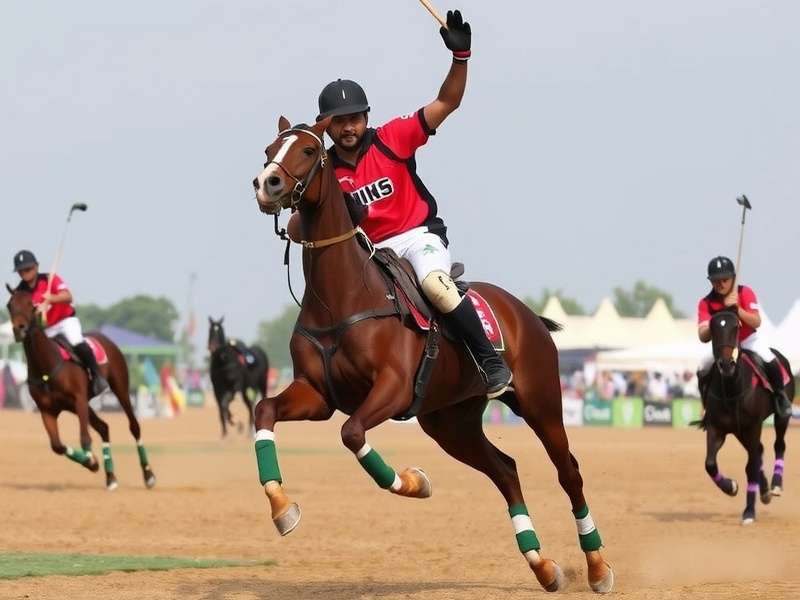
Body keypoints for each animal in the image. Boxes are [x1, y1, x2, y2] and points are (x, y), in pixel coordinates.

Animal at [5, 285, 156, 490]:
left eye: (32, 304)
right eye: (9, 305)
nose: (19, 329)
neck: (47, 364)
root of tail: (105, 338)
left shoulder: (78, 399)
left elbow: (85, 438)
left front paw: (91, 460)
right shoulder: (48, 410)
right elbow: (57, 446)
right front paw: (92, 462)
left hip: (119, 388)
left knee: (134, 426)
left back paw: (148, 475)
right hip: (82, 405)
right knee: (103, 427)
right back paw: (110, 477)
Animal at [249, 116, 614, 594]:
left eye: (308, 151)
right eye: (270, 148)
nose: (266, 183)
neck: (341, 296)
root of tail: (526, 313)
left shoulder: (394, 388)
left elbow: (352, 433)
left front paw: (413, 482)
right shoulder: (316, 393)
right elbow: (265, 410)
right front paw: (282, 508)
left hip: (541, 401)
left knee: (567, 471)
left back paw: (598, 567)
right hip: (450, 421)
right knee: (505, 469)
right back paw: (543, 565)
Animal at [697, 310, 794, 524]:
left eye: (737, 327)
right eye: (713, 328)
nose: (726, 364)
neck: (732, 388)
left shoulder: (753, 426)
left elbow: (750, 467)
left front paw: (749, 512)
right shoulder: (717, 428)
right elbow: (709, 464)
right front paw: (730, 486)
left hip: (779, 417)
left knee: (778, 445)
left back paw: (775, 486)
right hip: (740, 432)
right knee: (758, 450)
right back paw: (765, 491)